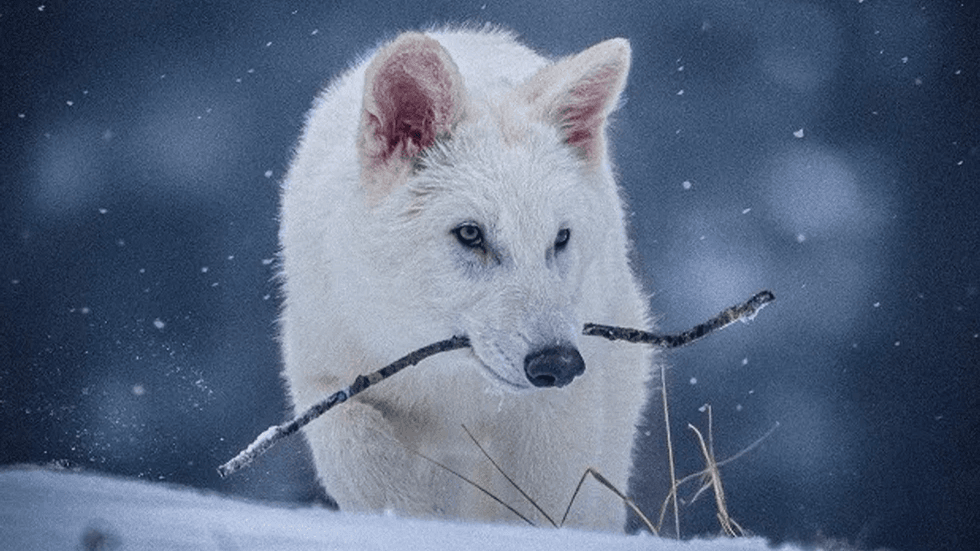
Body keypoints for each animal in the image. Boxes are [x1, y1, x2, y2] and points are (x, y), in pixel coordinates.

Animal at [279, 27, 657, 532]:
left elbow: (544, 508)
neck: (449, 381)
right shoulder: (325, 380)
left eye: (559, 238)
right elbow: (368, 465)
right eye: (470, 234)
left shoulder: (555, 415)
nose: (558, 363)